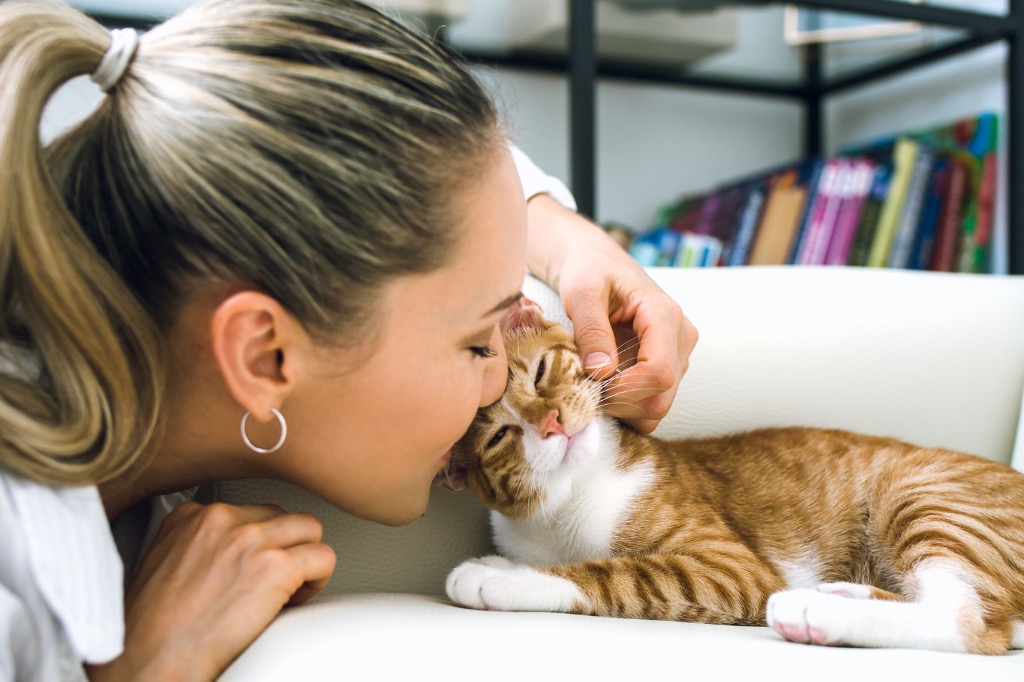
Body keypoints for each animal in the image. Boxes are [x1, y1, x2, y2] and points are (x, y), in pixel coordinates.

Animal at [444, 296, 1024, 655]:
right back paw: (835, 596)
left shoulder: (733, 567)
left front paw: (504, 576)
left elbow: (615, 574)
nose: (554, 423)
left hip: (923, 496)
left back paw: (815, 610)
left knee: (970, 622)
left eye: (541, 372)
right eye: (499, 437)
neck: (567, 502)